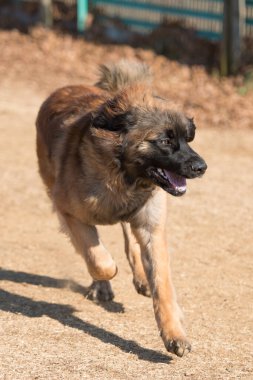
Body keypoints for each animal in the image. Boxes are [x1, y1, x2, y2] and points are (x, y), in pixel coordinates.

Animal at [37, 60, 208, 358]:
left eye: (188, 139)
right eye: (165, 141)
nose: (201, 167)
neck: (123, 175)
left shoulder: (151, 227)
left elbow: (163, 287)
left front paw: (174, 334)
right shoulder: (68, 213)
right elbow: (100, 261)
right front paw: (105, 278)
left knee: (130, 241)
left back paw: (140, 278)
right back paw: (103, 285)